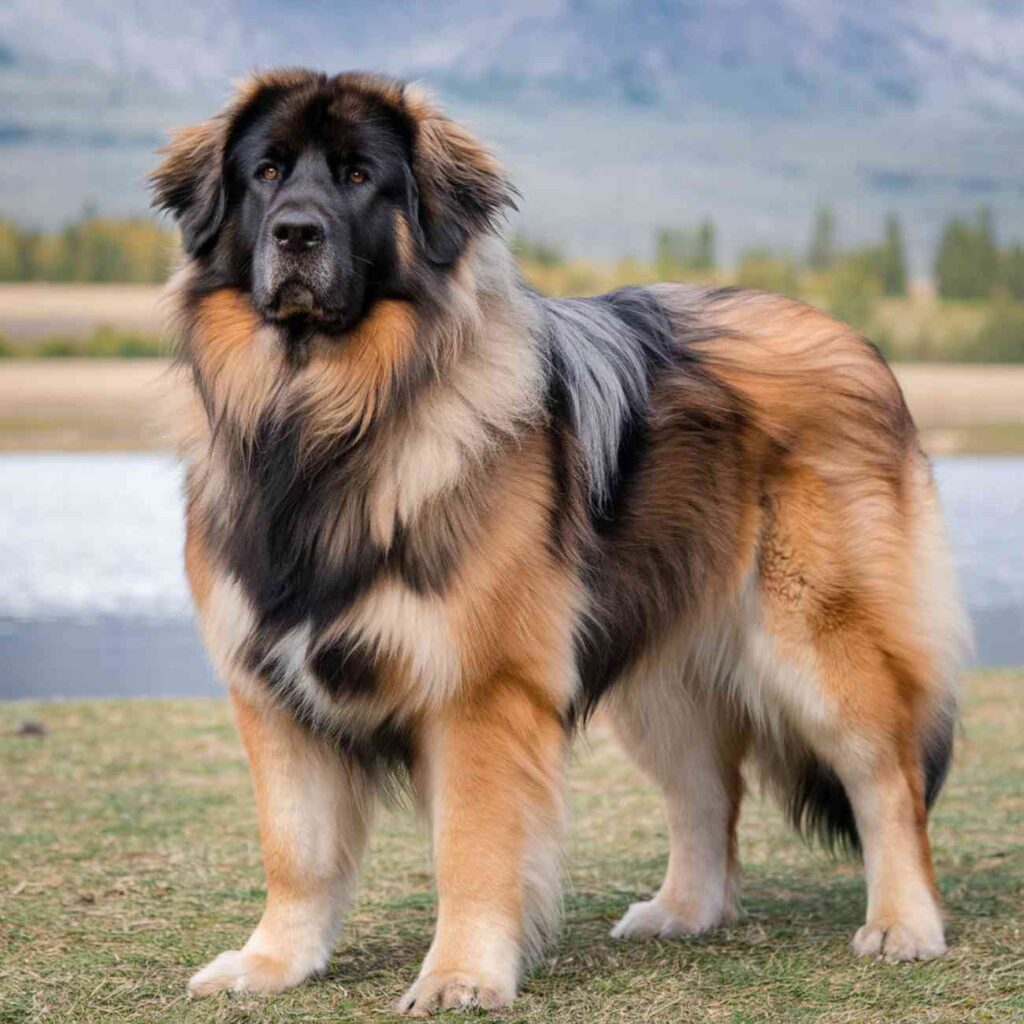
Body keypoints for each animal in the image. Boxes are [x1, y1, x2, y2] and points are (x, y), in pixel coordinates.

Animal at [151, 68, 966, 1011]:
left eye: (359, 177)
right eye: (268, 174)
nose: (295, 233)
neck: (323, 425)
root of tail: (854, 341)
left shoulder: (478, 691)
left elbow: (470, 848)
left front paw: (461, 973)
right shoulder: (272, 689)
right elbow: (297, 849)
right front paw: (272, 961)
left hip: (819, 641)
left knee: (887, 781)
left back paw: (905, 922)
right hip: (660, 671)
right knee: (705, 791)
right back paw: (684, 909)